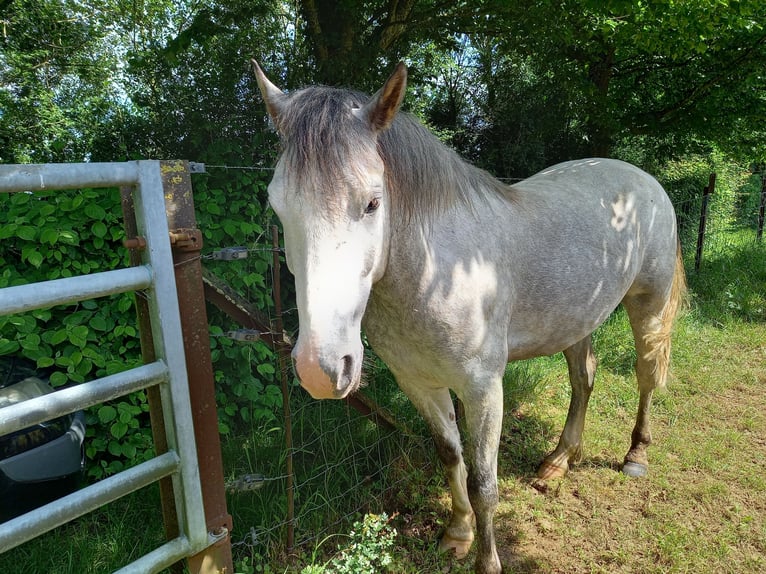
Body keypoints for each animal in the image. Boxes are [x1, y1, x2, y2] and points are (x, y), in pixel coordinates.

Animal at [255, 60, 688, 572]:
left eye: (373, 202)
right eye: (278, 206)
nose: (319, 369)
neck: (437, 272)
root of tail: (644, 180)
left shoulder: (483, 389)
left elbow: (484, 482)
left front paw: (487, 560)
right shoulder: (419, 384)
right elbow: (450, 457)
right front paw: (457, 533)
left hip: (648, 306)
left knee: (646, 374)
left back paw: (635, 454)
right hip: (576, 320)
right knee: (584, 378)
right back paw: (558, 462)